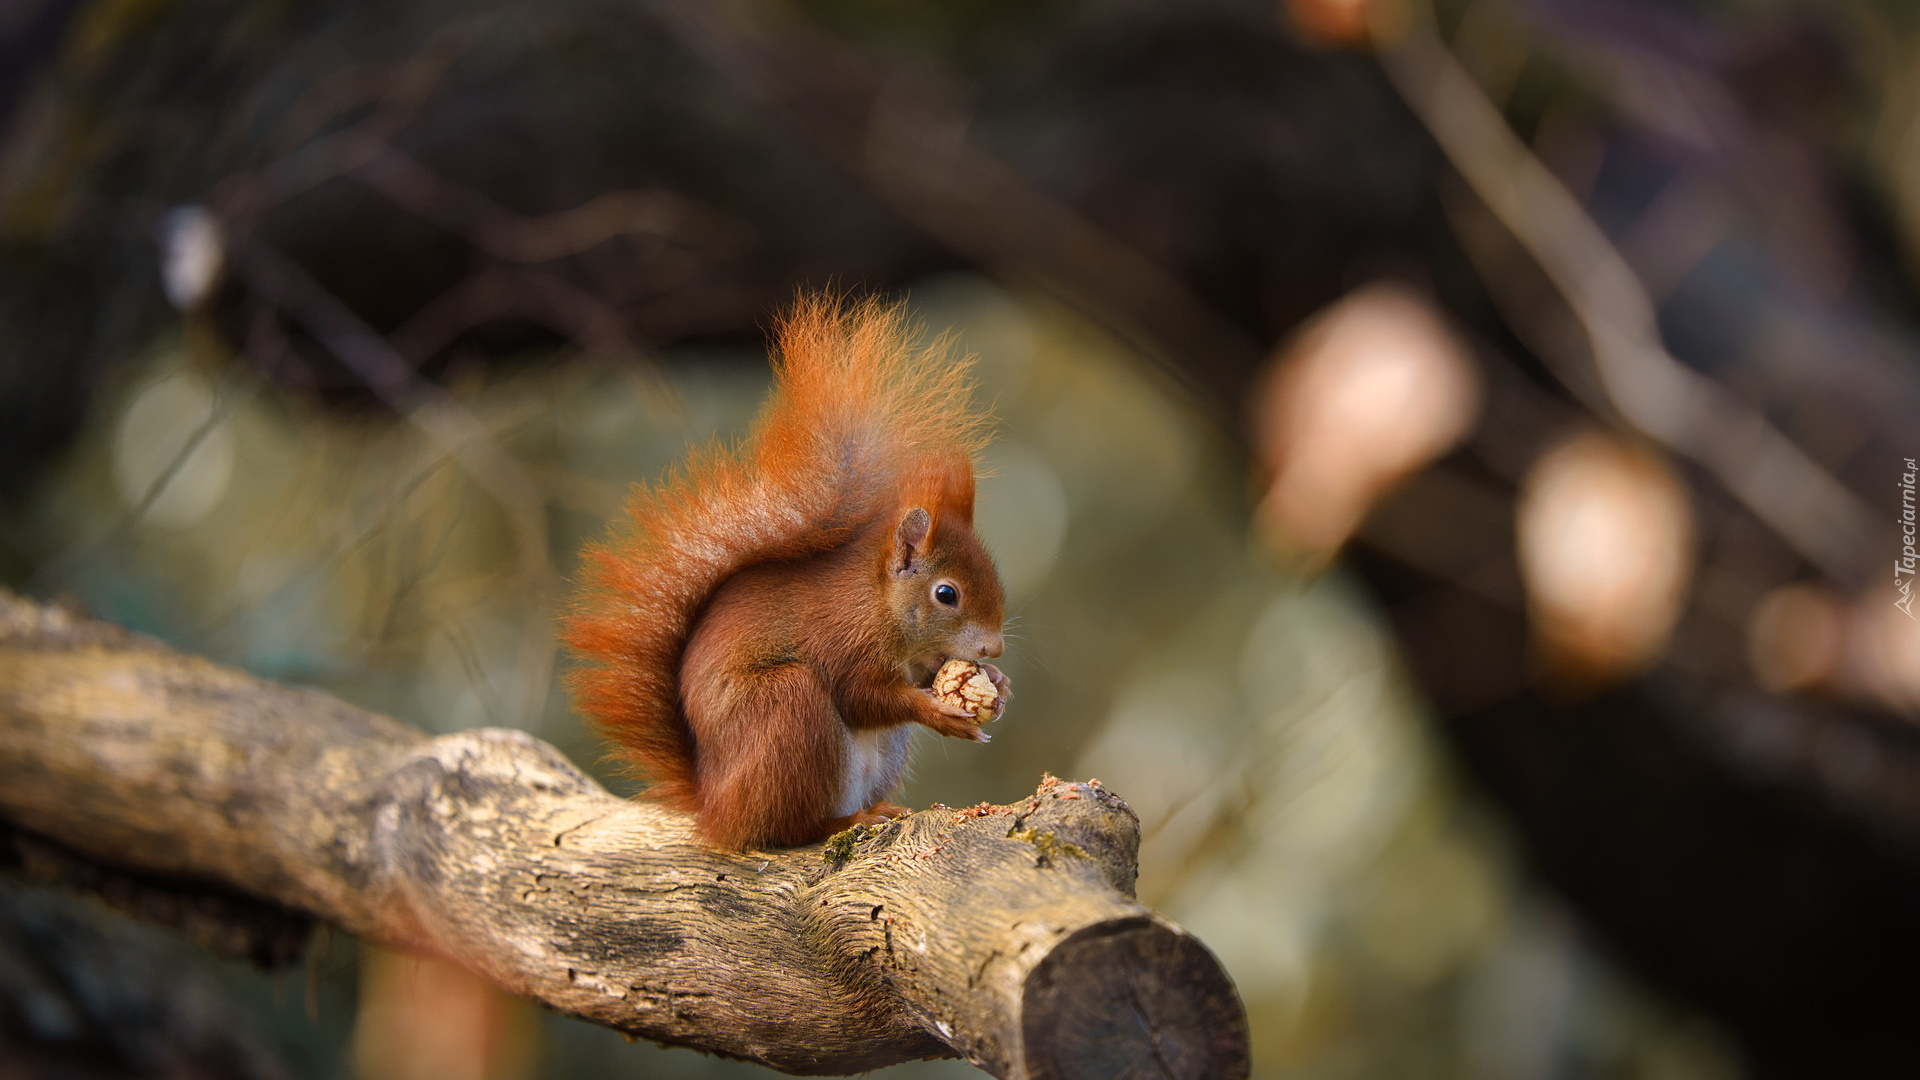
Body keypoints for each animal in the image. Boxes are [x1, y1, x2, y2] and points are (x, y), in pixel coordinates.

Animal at [563, 295, 1009, 849]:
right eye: (946, 594)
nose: (994, 648)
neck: (878, 605)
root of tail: (714, 809)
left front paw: (997, 683)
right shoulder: (840, 639)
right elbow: (862, 698)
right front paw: (940, 711)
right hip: (787, 711)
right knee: (783, 829)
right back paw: (845, 821)